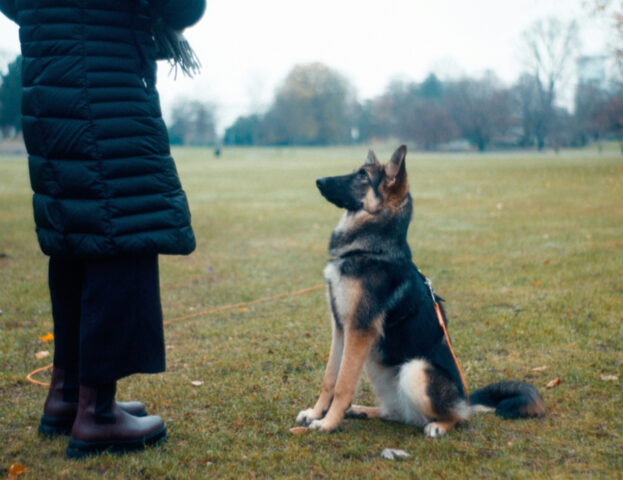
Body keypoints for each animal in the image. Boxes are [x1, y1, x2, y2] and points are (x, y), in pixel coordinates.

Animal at [298, 144, 544, 436]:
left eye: (363, 176)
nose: (319, 181)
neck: (371, 249)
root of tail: (465, 399)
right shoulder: (340, 328)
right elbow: (329, 379)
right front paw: (316, 413)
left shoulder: (358, 330)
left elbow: (343, 385)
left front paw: (327, 423)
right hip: (377, 366)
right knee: (396, 413)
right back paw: (362, 410)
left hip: (415, 370)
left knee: (457, 417)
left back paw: (439, 425)